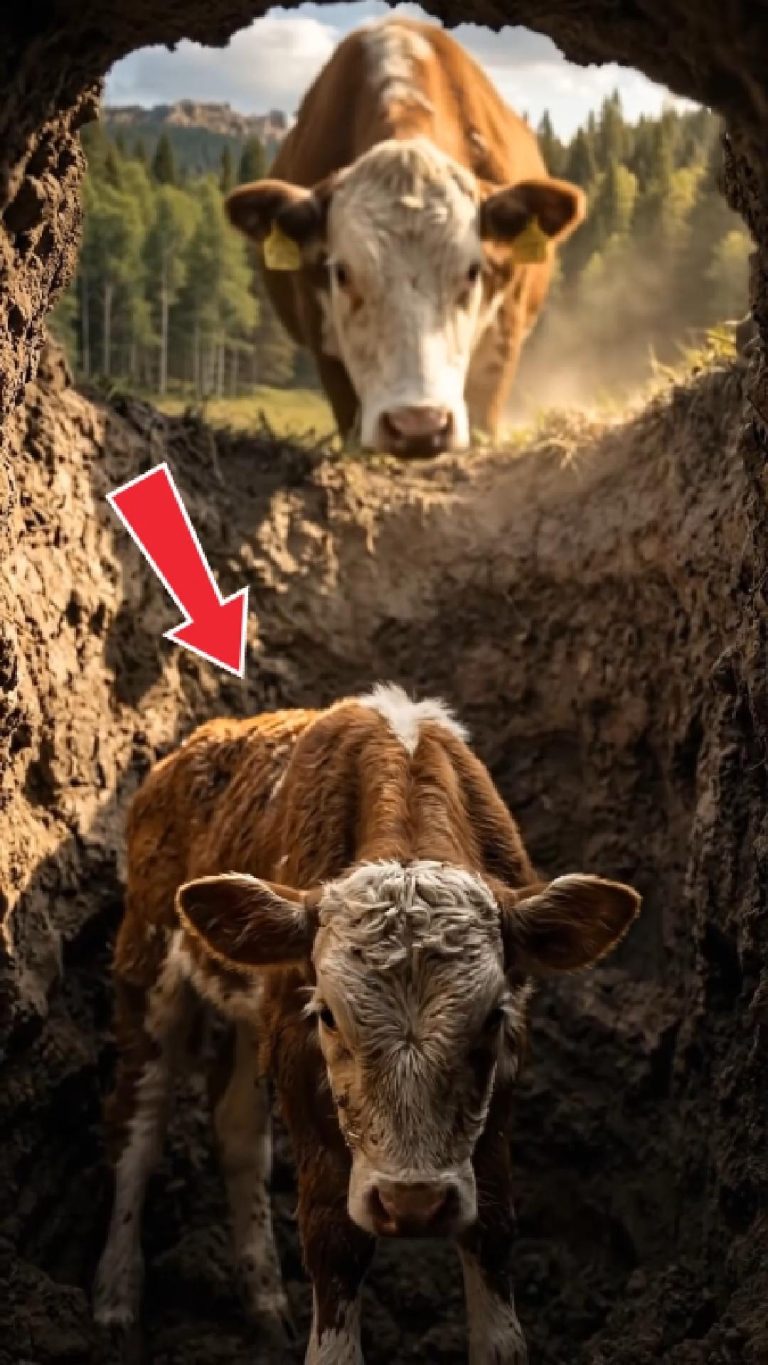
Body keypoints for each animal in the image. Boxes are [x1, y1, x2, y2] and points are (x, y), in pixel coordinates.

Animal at [93, 683, 640, 1362]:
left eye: (492, 1017)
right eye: (328, 1015)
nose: (413, 1202)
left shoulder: (508, 1066)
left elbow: (491, 1225)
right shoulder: (299, 1051)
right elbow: (334, 1236)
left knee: (238, 1128)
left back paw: (264, 1303)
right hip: (146, 963)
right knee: (136, 1128)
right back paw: (116, 1303)